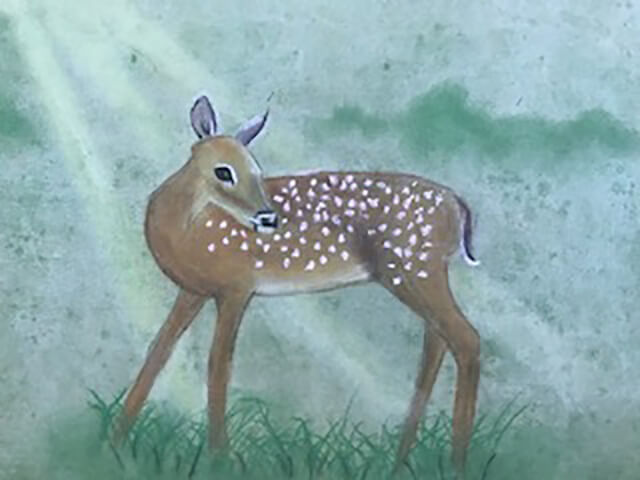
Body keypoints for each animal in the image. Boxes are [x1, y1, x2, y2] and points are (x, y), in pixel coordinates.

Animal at [112, 95, 481, 477]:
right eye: (223, 171)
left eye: (256, 171)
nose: (267, 218)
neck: (186, 230)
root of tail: (459, 206)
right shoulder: (194, 291)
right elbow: (157, 352)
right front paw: (115, 443)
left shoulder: (236, 287)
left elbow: (218, 364)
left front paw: (220, 458)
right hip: (417, 275)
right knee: (436, 348)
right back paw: (401, 463)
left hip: (413, 270)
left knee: (466, 339)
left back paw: (456, 464)